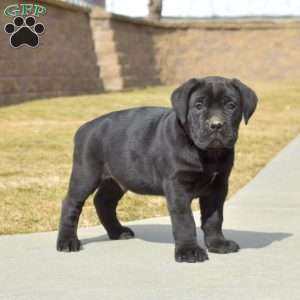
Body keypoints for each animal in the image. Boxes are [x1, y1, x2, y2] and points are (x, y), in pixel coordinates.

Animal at [56, 77, 258, 262]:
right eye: (198, 106)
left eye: (231, 105)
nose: (216, 125)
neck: (207, 154)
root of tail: (84, 127)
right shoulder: (178, 186)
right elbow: (185, 220)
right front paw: (189, 251)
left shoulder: (218, 186)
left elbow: (214, 218)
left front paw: (218, 244)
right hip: (86, 173)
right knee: (71, 203)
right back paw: (67, 242)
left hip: (117, 178)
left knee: (103, 201)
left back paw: (117, 232)